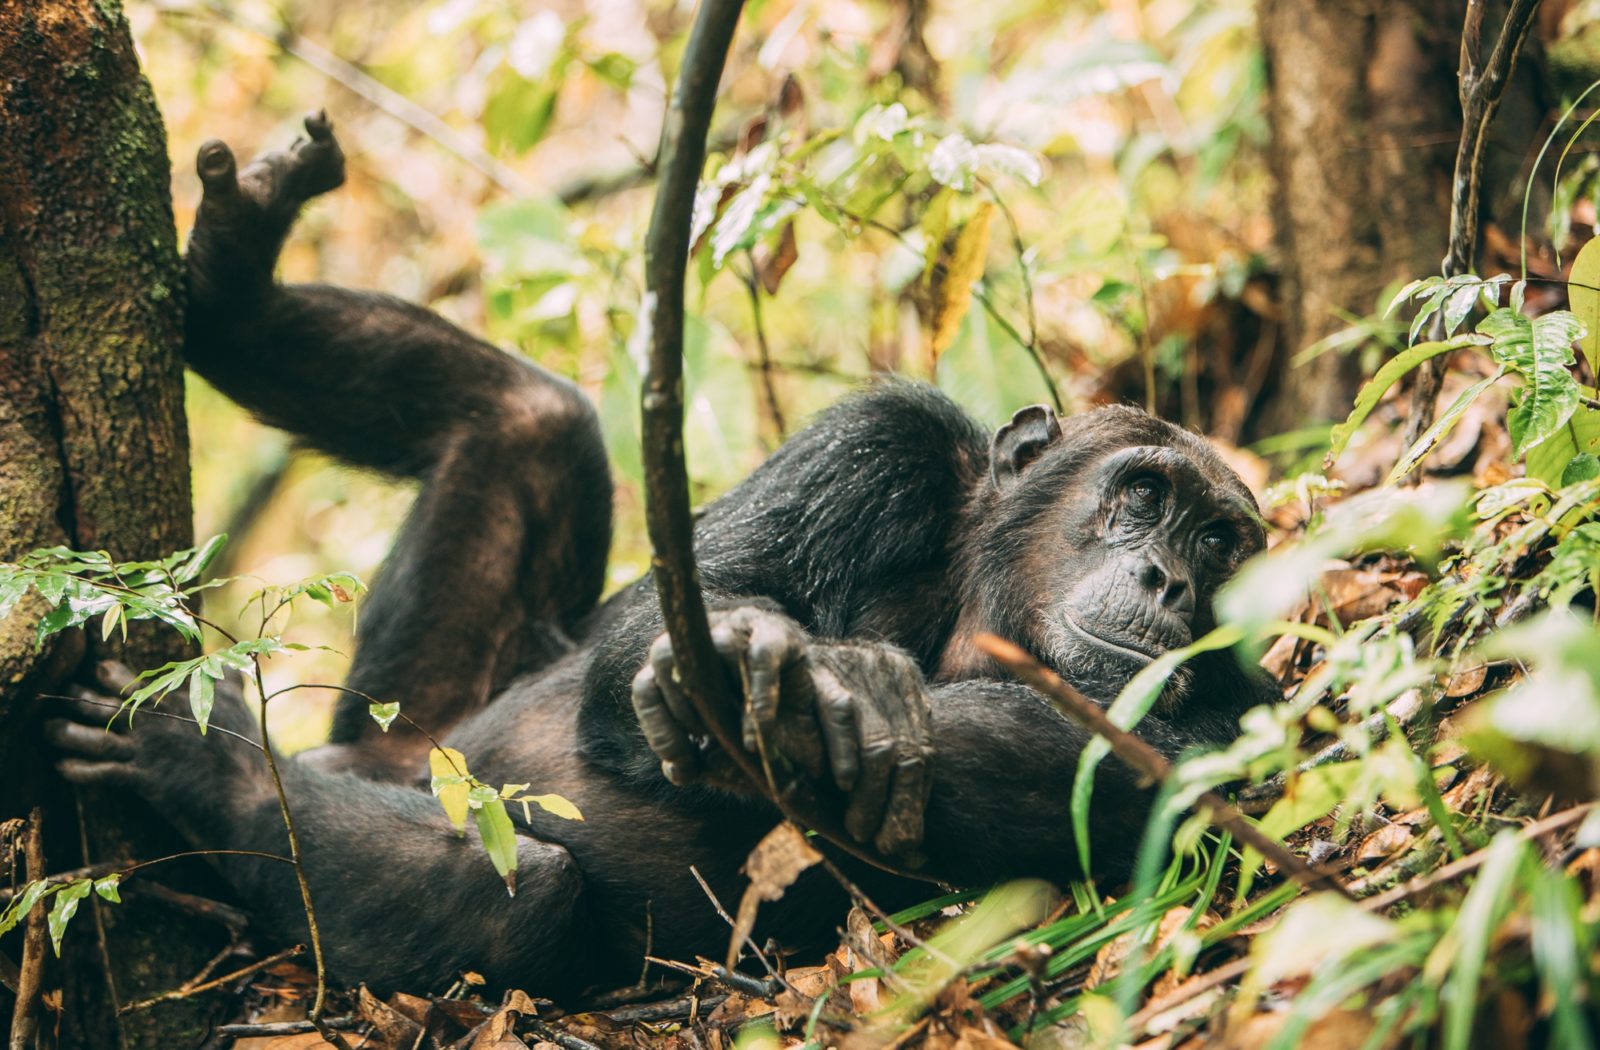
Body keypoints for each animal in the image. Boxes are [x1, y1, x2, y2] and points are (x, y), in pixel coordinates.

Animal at [46, 119, 1273, 998]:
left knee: (513, 891)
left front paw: (834, 697)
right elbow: (675, 612)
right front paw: (755, 655)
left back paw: (212, 763)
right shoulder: (881, 448)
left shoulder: (1232, 731)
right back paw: (235, 273)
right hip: (418, 710)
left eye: (1219, 543)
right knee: (533, 418)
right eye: (1144, 497)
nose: (1169, 576)